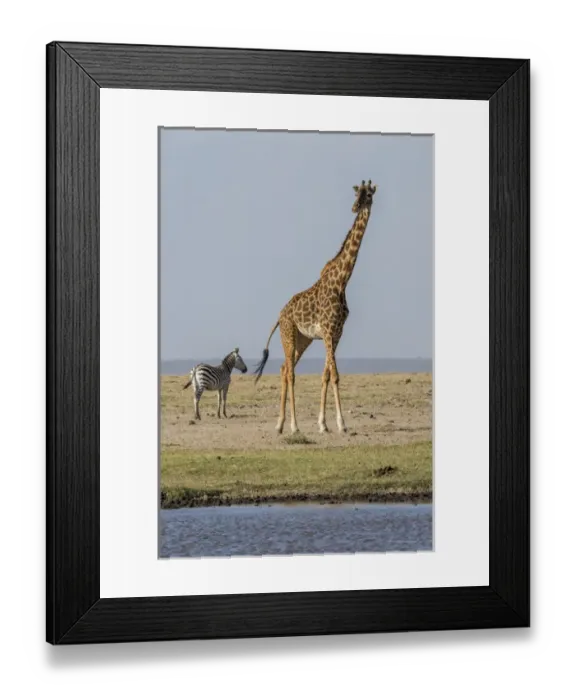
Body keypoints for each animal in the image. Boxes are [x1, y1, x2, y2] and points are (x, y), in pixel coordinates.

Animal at [254, 179, 377, 435]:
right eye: (357, 195)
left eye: (368, 195)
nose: (355, 207)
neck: (342, 281)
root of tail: (279, 316)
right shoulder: (329, 331)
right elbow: (336, 375)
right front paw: (341, 424)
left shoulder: (336, 334)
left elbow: (326, 375)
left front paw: (323, 424)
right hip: (289, 335)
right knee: (290, 372)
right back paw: (293, 426)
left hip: (303, 340)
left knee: (284, 369)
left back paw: (280, 424)